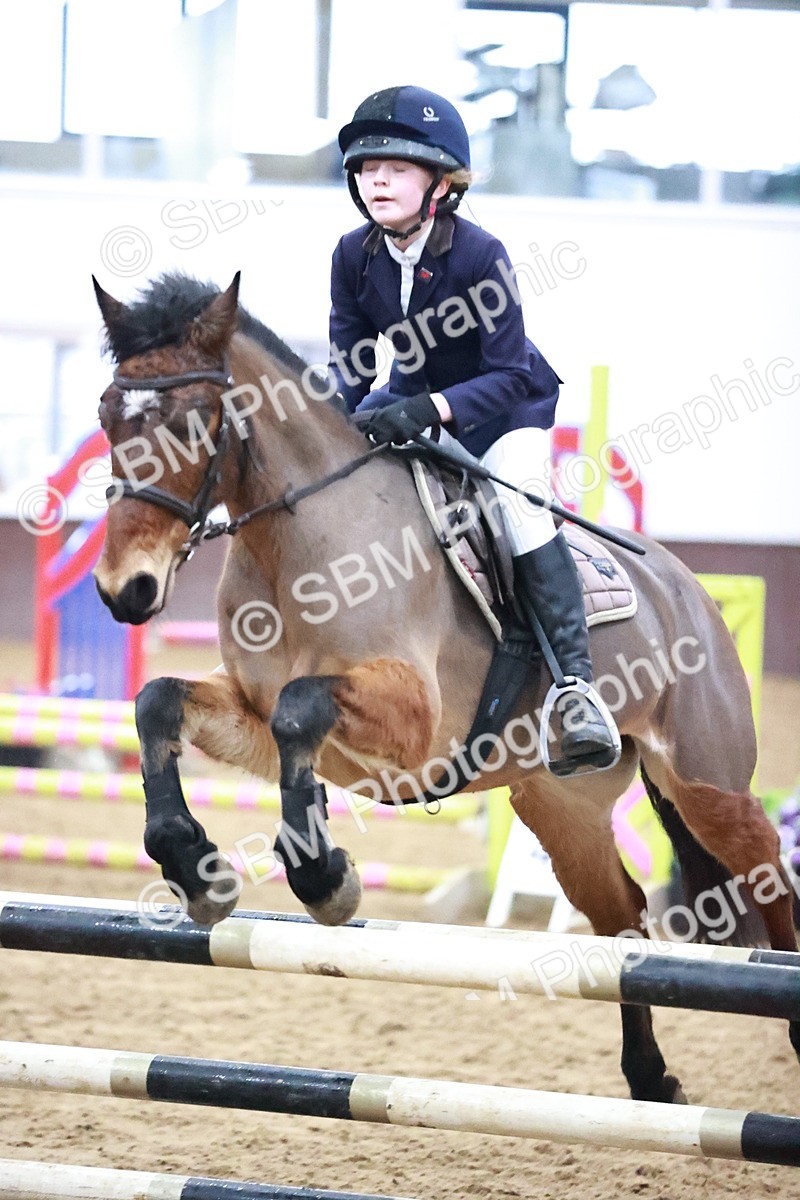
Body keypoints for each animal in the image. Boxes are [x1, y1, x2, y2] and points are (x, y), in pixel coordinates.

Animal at [91, 270, 798, 1104]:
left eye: (194, 421)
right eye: (106, 416)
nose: (124, 591)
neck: (297, 542)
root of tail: (689, 589)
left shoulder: (410, 719)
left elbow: (302, 709)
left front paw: (324, 878)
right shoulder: (256, 717)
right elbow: (161, 703)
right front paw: (193, 865)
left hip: (708, 785)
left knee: (770, 877)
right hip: (562, 807)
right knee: (622, 915)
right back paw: (651, 1079)